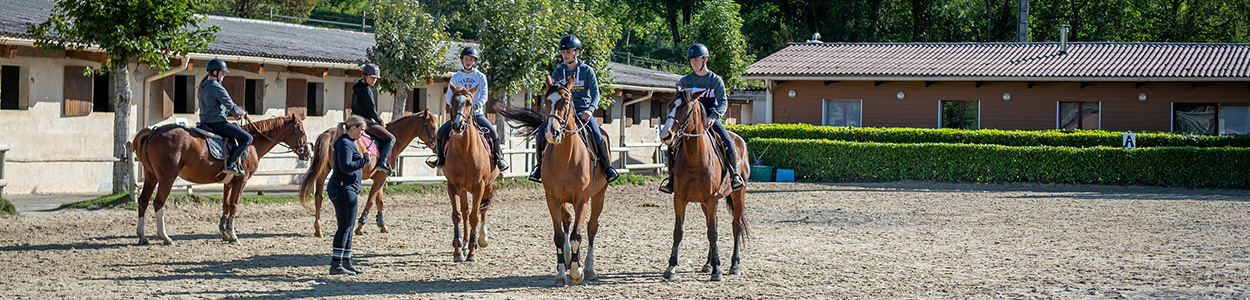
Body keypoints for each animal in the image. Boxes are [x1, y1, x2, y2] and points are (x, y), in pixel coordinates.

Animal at [131, 113, 312, 245]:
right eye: (302, 131)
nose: (307, 153)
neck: (253, 143)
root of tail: (154, 132)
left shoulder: (229, 182)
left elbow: (226, 204)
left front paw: (224, 232)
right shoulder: (241, 180)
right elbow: (234, 204)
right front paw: (232, 234)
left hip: (151, 177)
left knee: (143, 201)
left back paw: (142, 236)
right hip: (167, 178)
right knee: (158, 203)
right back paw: (165, 237)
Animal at [297, 108, 440, 237]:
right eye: (432, 127)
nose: (437, 147)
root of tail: (329, 133)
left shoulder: (380, 177)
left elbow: (379, 201)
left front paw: (382, 225)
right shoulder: (381, 177)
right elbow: (371, 200)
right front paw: (360, 226)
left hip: (324, 169)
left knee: (318, 196)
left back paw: (318, 229)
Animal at [500, 75, 612, 286]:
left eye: (566, 102)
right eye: (546, 101)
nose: (552, 133)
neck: (566, 157)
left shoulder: (582, 200)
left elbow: (577, 235)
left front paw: (577, 272)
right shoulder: (552, 198)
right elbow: (560, 236)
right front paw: (561, 272)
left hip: (599, 196)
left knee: (591, 228)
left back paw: (589, 268)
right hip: (563, 200)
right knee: (567, 221)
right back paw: (569, 258)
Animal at [660, 88, 745, 281]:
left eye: (686, 107)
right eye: (670, 105)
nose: (665, 135)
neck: (695, 157)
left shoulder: (712, 199)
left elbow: (713, 233)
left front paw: (717, 271)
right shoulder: (680, 199)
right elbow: (679, 232)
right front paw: (671, 267)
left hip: (738, 195)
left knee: (736, 225)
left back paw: (734, 265)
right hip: (705, 204)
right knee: (711, 225)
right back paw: (708, 264)